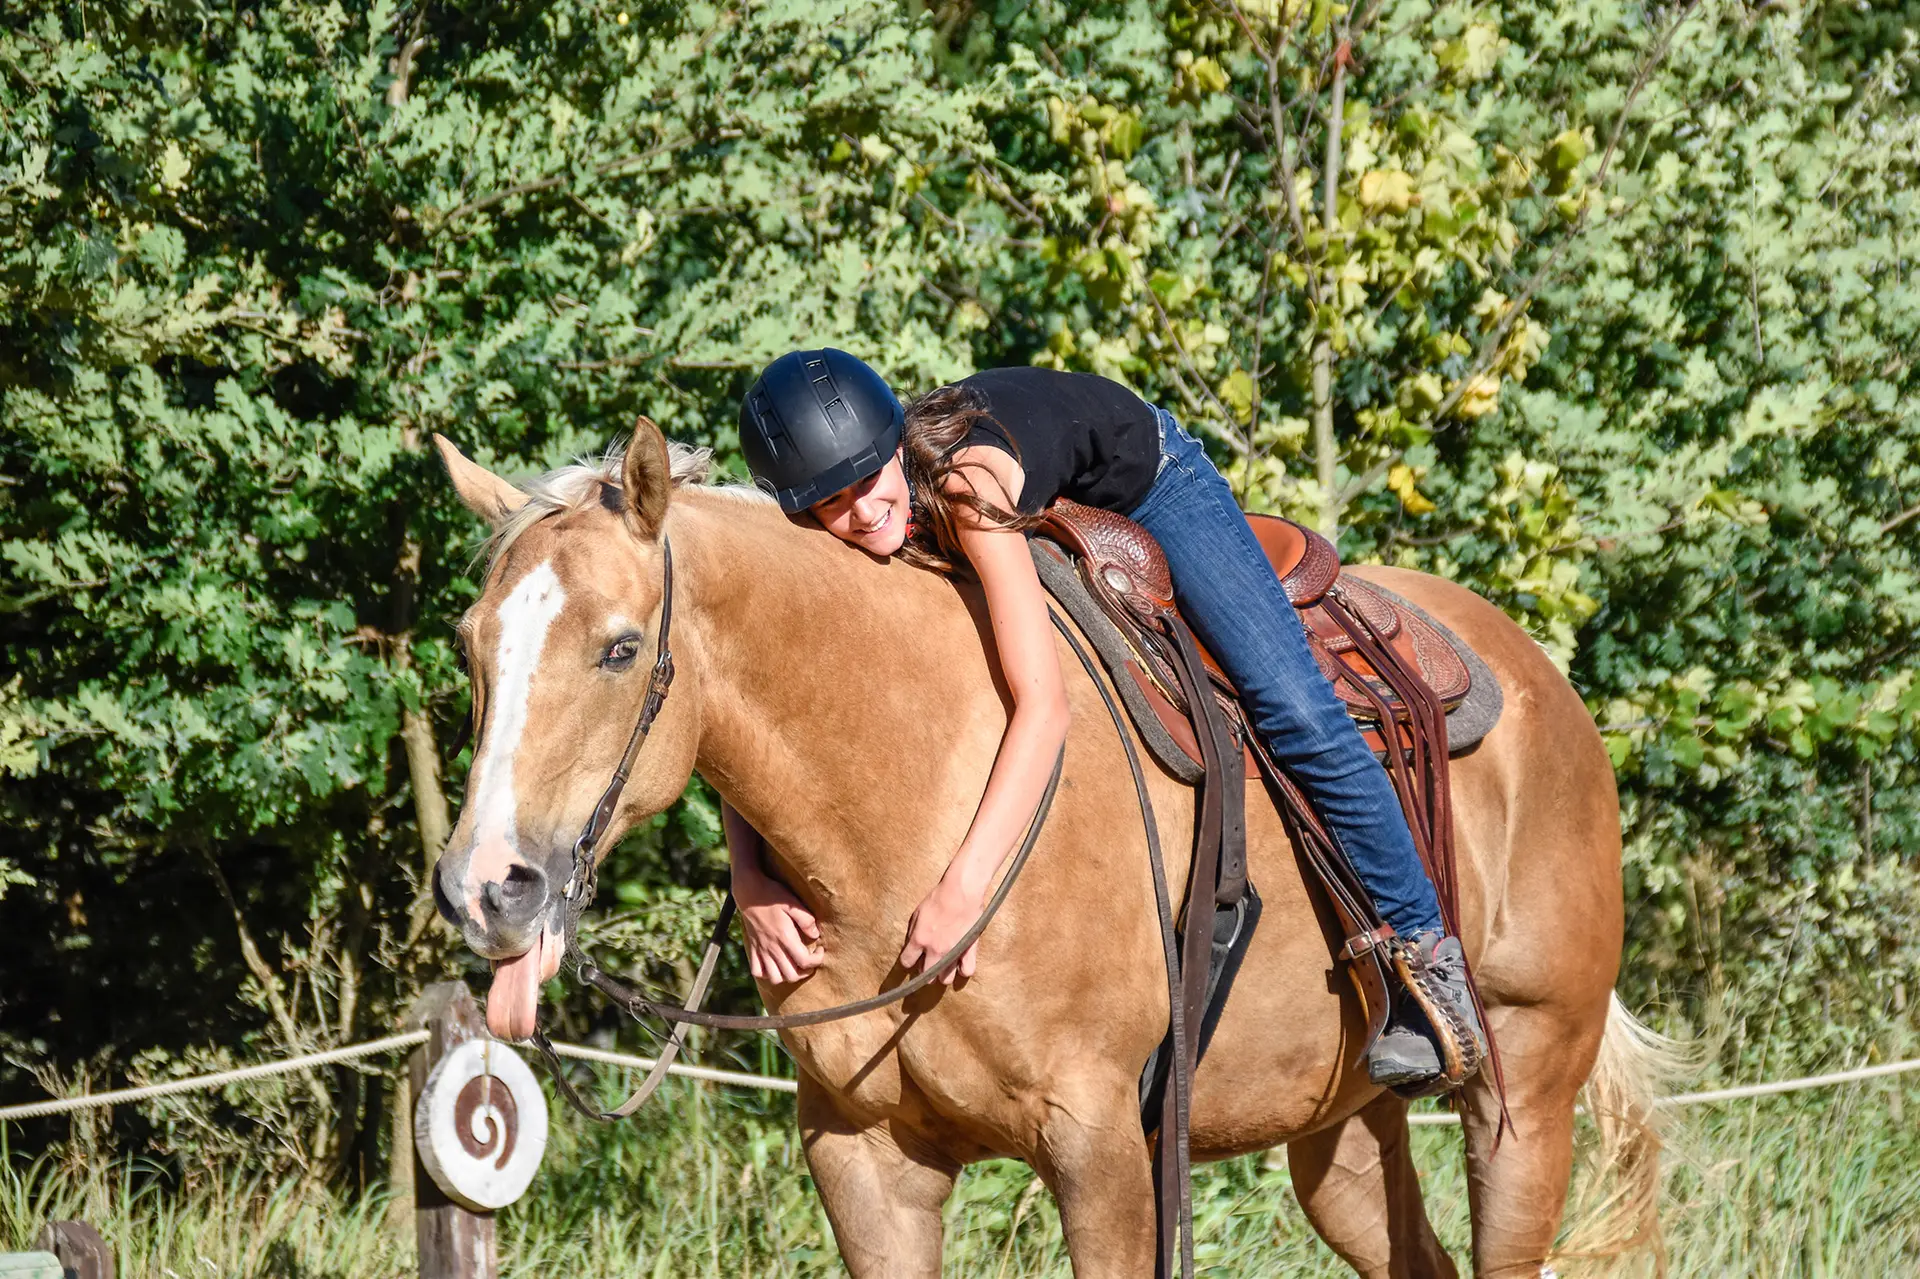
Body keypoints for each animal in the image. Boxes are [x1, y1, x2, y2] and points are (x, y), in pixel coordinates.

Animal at [435, 422, 1666, 1267]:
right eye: (471, 642)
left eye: (619, 647)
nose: (484, 888)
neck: (917, 794)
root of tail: (1542, 679)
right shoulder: (863, 1161)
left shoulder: (1103, 1153)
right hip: (1343, 1133)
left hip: (1527, 1089)